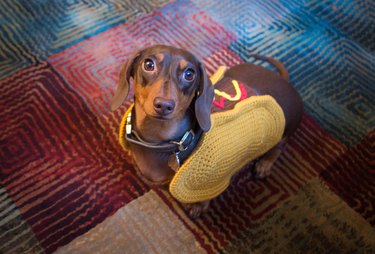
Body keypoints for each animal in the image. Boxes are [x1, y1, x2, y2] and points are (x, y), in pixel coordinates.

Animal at [110, 44, 304, 217]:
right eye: (148, 64)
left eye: (189, 74)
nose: (164, 105)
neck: (160, 142)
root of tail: (283, 80)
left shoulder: (215, 179)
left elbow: (205, 196)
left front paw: (198, 206)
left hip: (284, 127)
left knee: (279, 147)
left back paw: (265, 164)